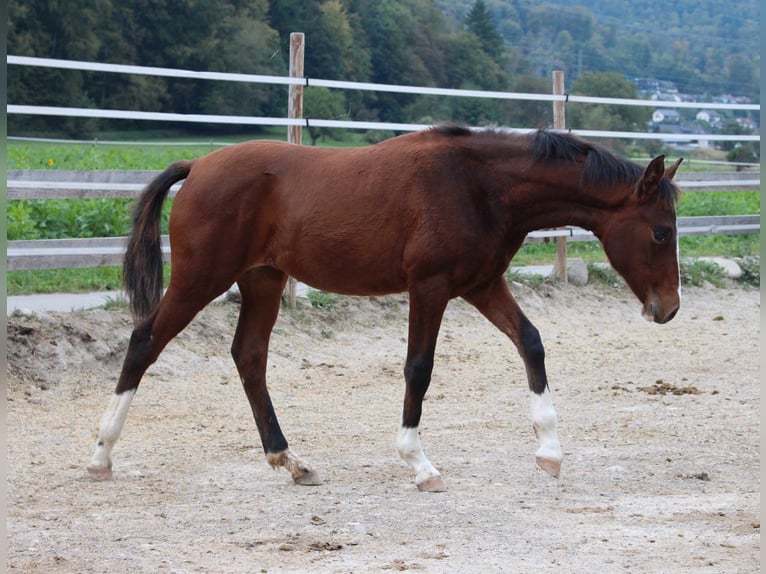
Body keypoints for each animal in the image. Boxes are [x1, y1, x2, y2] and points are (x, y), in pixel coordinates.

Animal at [88, 124, 684, 492]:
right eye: (660, 232)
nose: (669, 309)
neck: (479, 184)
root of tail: (198, 165)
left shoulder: (482, 284)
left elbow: (531, 343)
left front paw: (551, 453)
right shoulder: (430, 288)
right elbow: (419, 368)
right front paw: (419, 464)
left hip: (261, 281)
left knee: (249, 357)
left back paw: (292, 461)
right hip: (201, 279)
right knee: (144, 342)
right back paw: (100, 456)